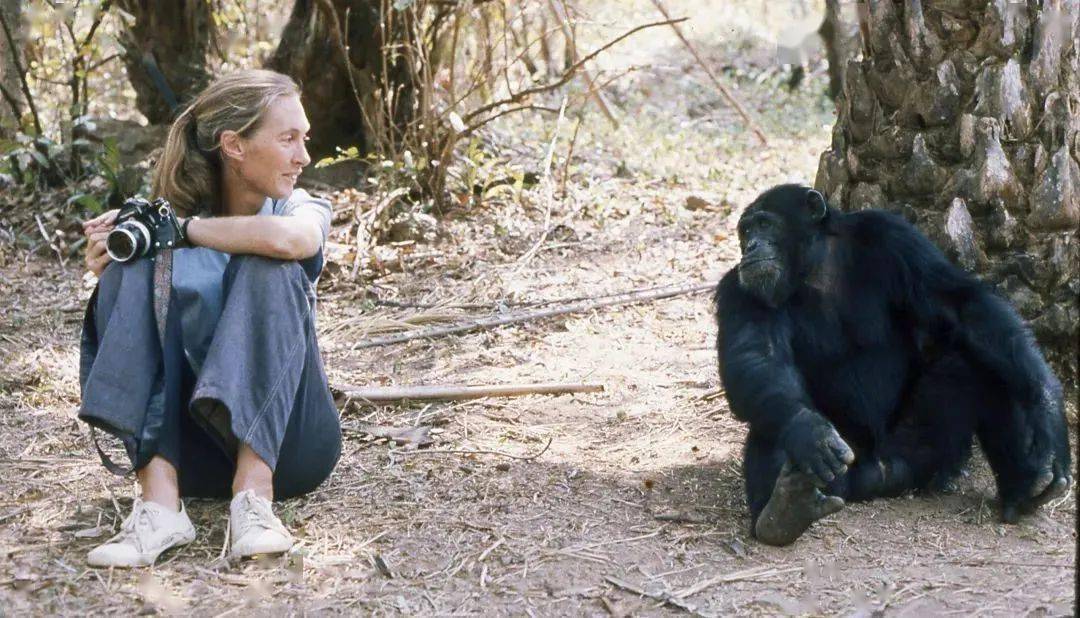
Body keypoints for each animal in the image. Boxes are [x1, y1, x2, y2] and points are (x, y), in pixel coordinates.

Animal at [717, 182, 1071, 544]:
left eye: (764, 225)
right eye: (746, 231)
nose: (750, 246)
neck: (815, 267)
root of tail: (880, 472)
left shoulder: (895, 238)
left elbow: (963, 305)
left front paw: (1047, 408)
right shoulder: (739, 290)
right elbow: (758, 359)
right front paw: (808, 432)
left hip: (929, 451)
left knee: (983, 366)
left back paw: (1025, 486)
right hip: (847, 476)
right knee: (772, 414)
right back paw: (784, 511)